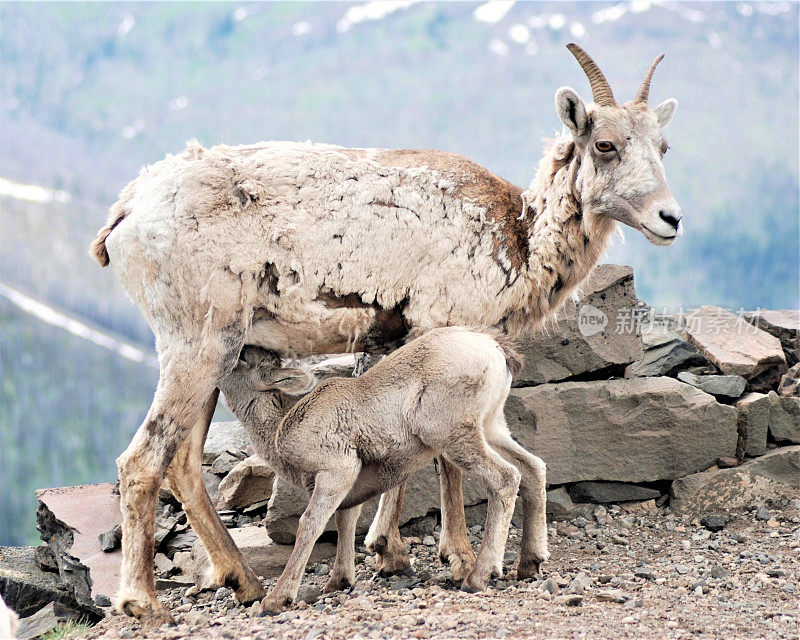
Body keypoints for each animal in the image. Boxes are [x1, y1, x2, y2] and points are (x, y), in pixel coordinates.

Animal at [217, 328, 544, 612]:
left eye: (242, 360)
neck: (281, 425)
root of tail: (495, 349)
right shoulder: (350, 485)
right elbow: (345, 521)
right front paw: (338, 582)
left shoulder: (337, 471)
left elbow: (311, 524)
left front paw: (277, 600)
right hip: (491, 427)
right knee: (533, 468)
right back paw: (530, 564)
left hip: (455, 436)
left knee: (506, 479)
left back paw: (479, 577)